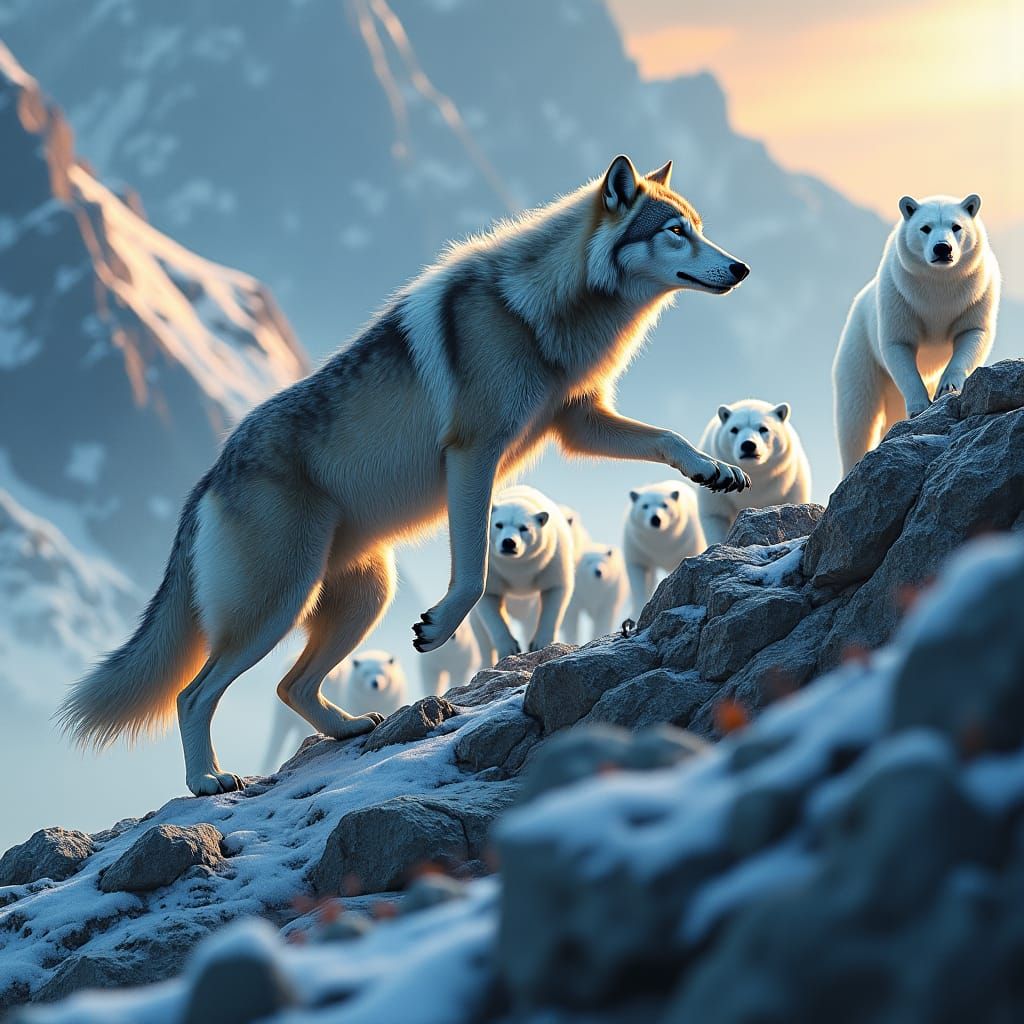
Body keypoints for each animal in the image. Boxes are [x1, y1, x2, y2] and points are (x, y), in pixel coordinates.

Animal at [57, 154, 750, 795]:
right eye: (676, 231)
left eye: (700, 228)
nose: (741, 268)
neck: (537, 310)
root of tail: (207, 481)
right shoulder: (473, 454)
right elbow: (472, 573)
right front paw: (439, 627)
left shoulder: (576, 422)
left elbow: (667, 438)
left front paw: (715, 470)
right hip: (278, 606)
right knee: (193, 694)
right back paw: (207, 780)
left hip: (363, 596)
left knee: (289, 687)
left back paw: (346, 728)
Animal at [697, 398, 812, 546]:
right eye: (734, 429)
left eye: (763, 428)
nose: (748, 445)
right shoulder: (718, 489)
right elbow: (716, 516)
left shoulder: (792, 487)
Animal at [833, 193, 1000, 474]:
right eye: (926, 227)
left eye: (956, 226)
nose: (943, 249)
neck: (938, 286)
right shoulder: (900, 294)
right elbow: (898, 343)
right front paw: (920, 407)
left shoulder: (976, 293)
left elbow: (973, 333)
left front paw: (948, 386)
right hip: (859, 353)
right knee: (856, 416)